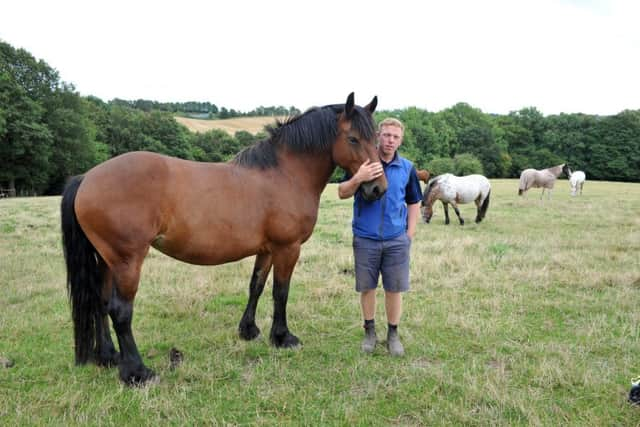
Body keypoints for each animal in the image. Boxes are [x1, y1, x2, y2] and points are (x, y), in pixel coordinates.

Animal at [60, 93, 384, 388]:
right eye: (353, 139)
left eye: (377, 139)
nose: (377, 189)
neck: (285, 174)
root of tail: (87, 178)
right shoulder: (287, 248)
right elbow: (281, 292)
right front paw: (283, 337)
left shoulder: (267, 250)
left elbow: (256, 286)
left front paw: (249, 330)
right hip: (127, 261)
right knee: (120, 310)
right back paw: (137, 373)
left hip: (106, 260)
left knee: (101, 302)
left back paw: (108, 357)